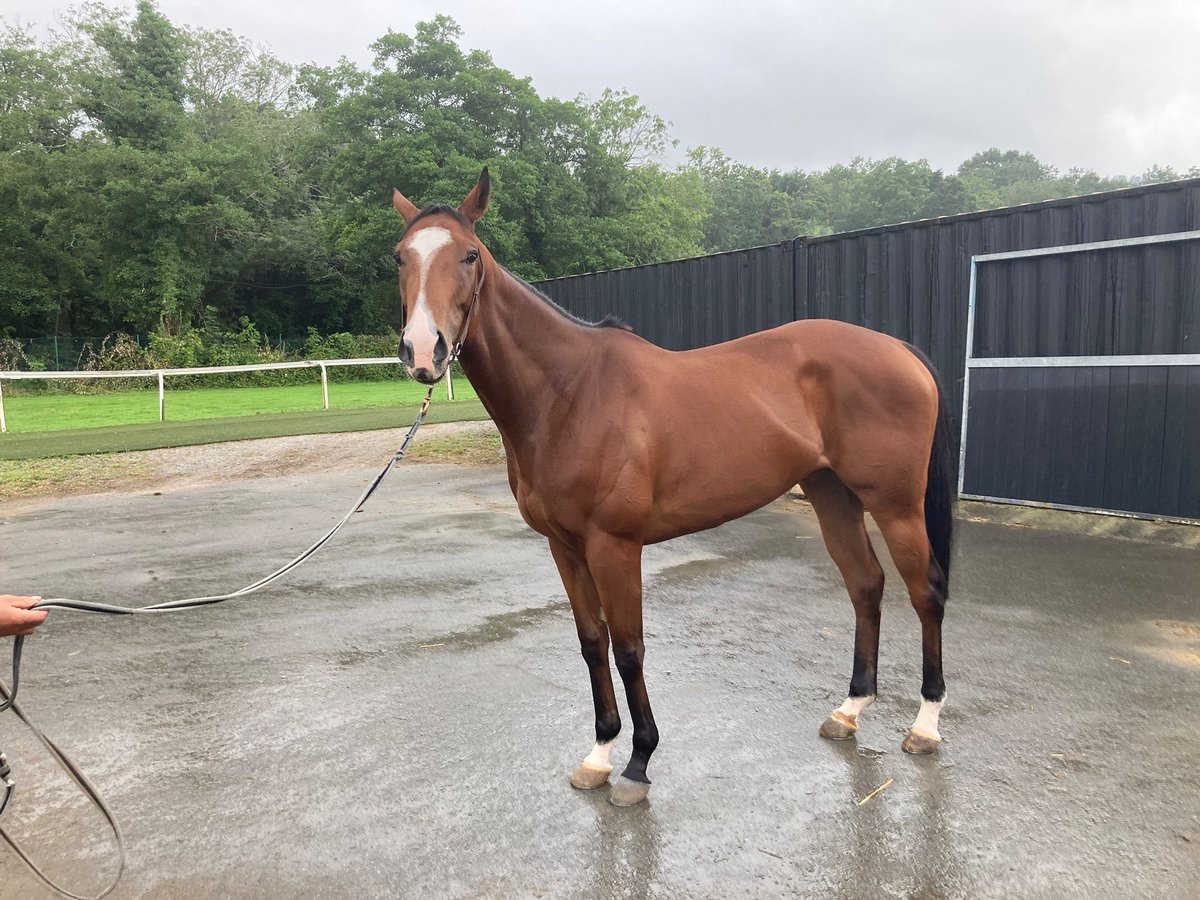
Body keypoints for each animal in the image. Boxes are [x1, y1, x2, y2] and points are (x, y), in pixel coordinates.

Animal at [393, 170, 955, 811]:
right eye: (399, 257)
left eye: (468, 254)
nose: (423, 351)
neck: (569, 392)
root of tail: (897, 348)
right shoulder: (564, 547)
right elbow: (592, 642)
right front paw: (599, 754)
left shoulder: (614, 546)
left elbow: (629, 647)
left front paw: (638, 763)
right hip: (832, 495)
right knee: (865, 585)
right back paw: (850, 710)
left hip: (896, 505)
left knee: (926, 592)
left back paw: (925, 726)